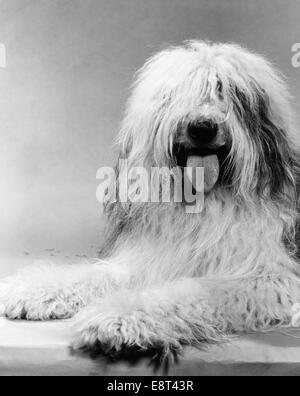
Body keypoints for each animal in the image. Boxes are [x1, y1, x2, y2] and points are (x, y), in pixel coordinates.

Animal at [0, 41, 300, 356]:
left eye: (226, 90)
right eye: (176, 94)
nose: (202, 127)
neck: (204, 203)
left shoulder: (270, 277)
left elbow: (194, 291)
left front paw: (116, 318)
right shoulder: (152, 259)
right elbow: (97, 276)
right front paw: (32, 289)